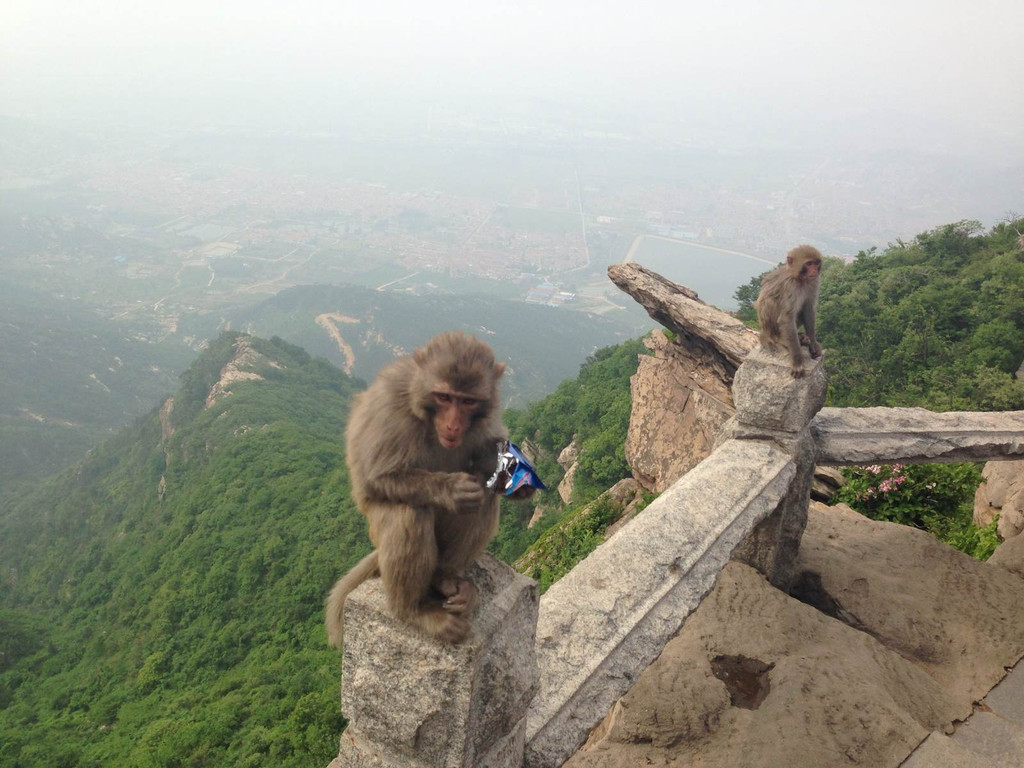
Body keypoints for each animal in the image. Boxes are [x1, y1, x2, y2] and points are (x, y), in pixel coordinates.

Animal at [757, 246, 827, 378]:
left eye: (816, 263)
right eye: (809, 264)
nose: (814, 270)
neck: (800, 279)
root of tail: (765, 331)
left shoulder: (814, 282)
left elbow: (808, 310)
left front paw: (813, 344)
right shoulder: (790, 285)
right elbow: (786, 318)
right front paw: (797, 361)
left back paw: (801, 337)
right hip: (770, 327)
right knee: (771, 301)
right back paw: (782, 339)